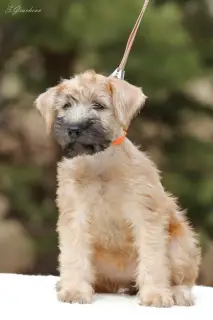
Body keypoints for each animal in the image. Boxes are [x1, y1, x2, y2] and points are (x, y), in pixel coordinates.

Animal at [35, 70, 200, 308]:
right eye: (66, 105)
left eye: (98, 105)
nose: (74, 129)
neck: (100, 163)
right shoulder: (75, 215)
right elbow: (74, 254)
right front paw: (75, 290)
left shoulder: (146, 217)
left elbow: (153, 258)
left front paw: (156, 294)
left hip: (182, 245)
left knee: (183, 277)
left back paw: (178, 292)